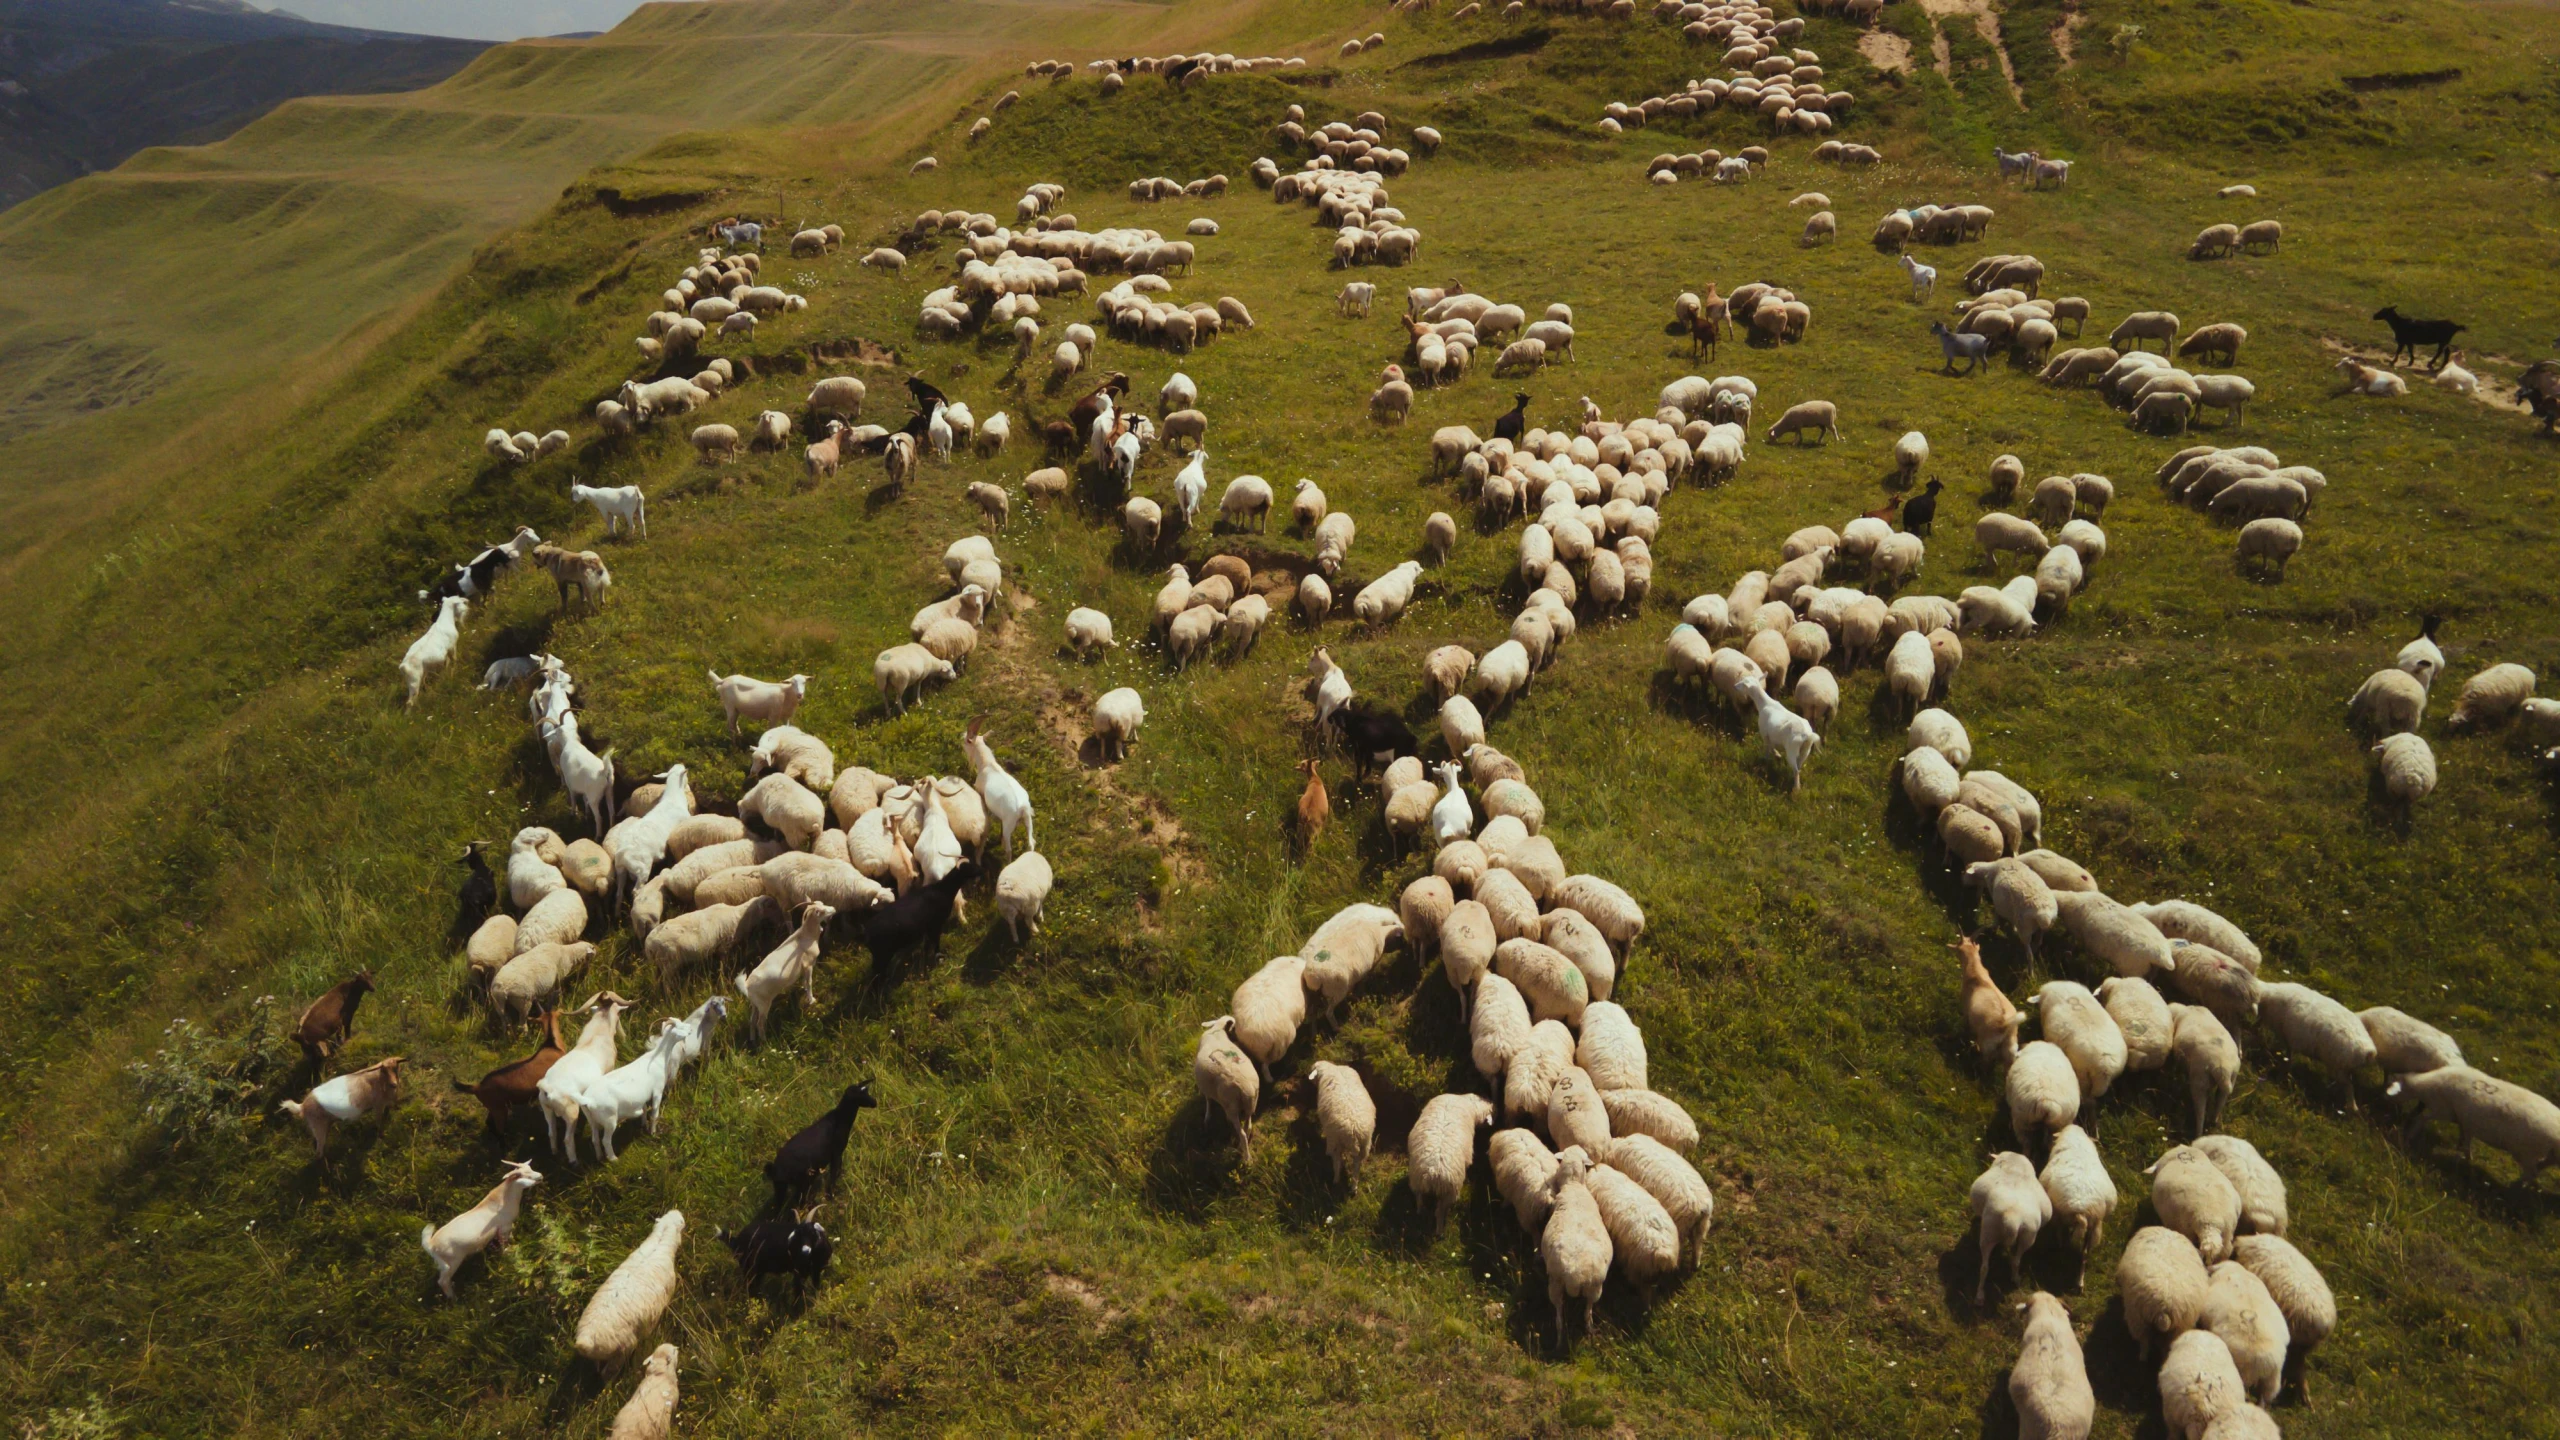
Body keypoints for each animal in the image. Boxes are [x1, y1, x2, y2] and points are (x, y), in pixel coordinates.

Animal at [1192, 1014, 1264, 1158]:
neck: (1217, 1029)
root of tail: (1244, 1087)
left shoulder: (1206, 1088)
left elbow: (1208, 1099)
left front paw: (1207, 1117)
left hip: (1231, 1107)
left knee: (1241, 1132)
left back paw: (1247, 1158)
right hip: (1251, 1104)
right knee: (1248, 1127)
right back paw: (1243, 1148)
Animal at [2385, 1060, 2560, 1183]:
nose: (2384, 1099)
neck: (2424, 1085)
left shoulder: (2443, 1110)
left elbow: (2422, 1118)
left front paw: (2410, 1135)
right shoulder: (2464, 1120)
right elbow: (2465, 1140)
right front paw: (2465, 1158)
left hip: (2525, 1152)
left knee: (2531, 1173)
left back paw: (2514, 1187)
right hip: (2550, 1153)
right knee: (2544, 1165)